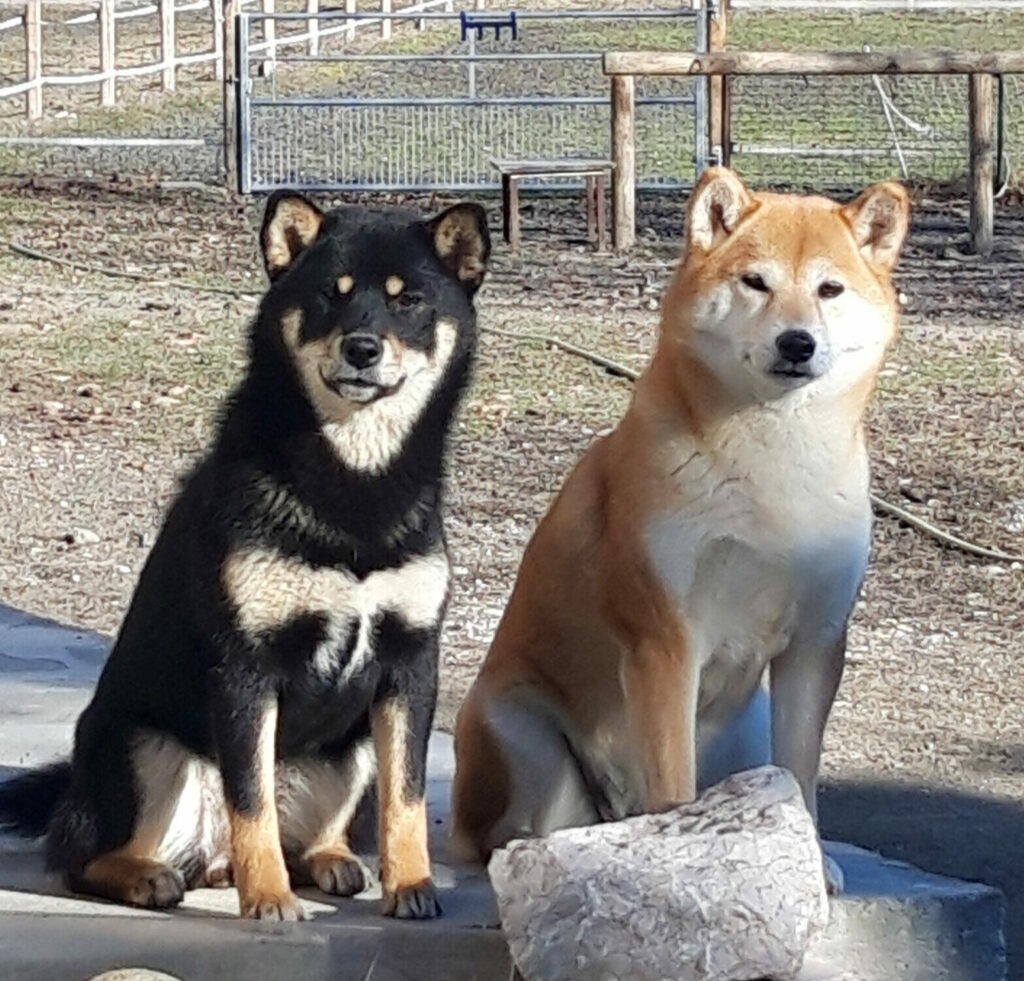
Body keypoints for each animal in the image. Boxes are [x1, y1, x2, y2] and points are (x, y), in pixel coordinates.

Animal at [1, 190, 487, 921]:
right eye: (331, 293)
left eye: (410, 300)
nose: (362, 348)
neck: (352, 483)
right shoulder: (243, 666)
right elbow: (250, 799)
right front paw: (270, 900)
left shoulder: (410, 663)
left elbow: (406, 798)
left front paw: (411, 885)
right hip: (145, 748)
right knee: (85, 857)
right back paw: (149, 876)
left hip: (352, 754)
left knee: (307, 834)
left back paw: (329, 859)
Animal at [452, 168, 909, 892]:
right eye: (756, 282)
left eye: (830, 289)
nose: (797, 342)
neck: (773, 469)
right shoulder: (663, 638)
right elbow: (672, 779)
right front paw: (675, 860)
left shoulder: (816, 640)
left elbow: (801, 768)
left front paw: (811, 859)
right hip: (519, 733)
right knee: (504, 832)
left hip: (748, 726)